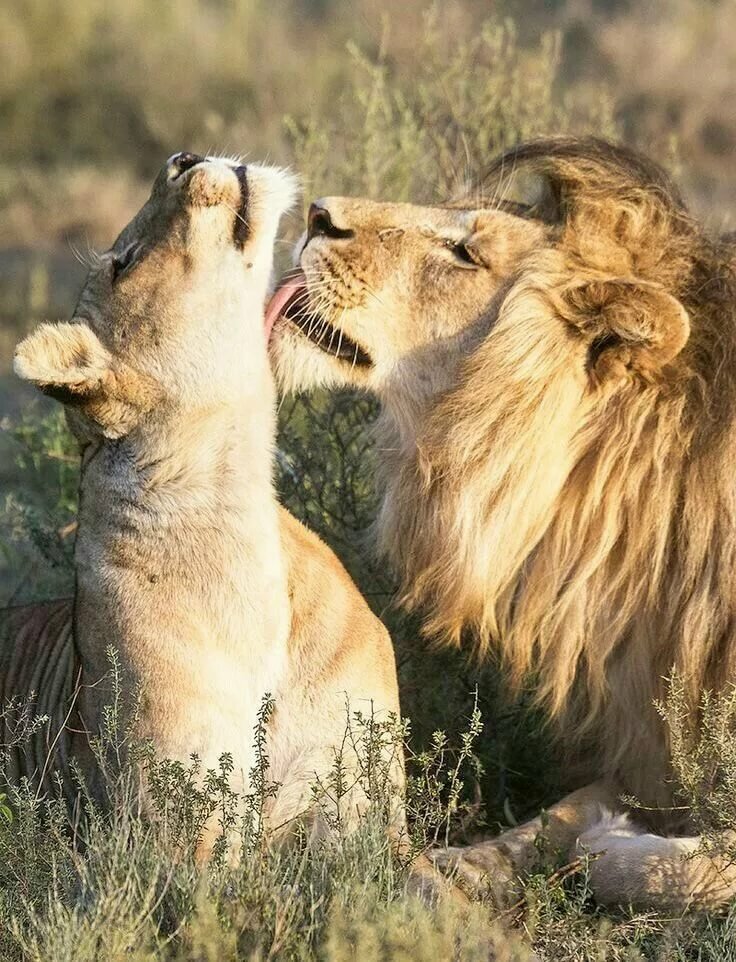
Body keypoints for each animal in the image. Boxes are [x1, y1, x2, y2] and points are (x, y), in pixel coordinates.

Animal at [267, 136, 736, 910]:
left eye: (465, 253)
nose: (317, 214)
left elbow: (649, 863)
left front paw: (614, 842)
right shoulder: (650, 744)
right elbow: (558, 812)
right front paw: (451, 868)